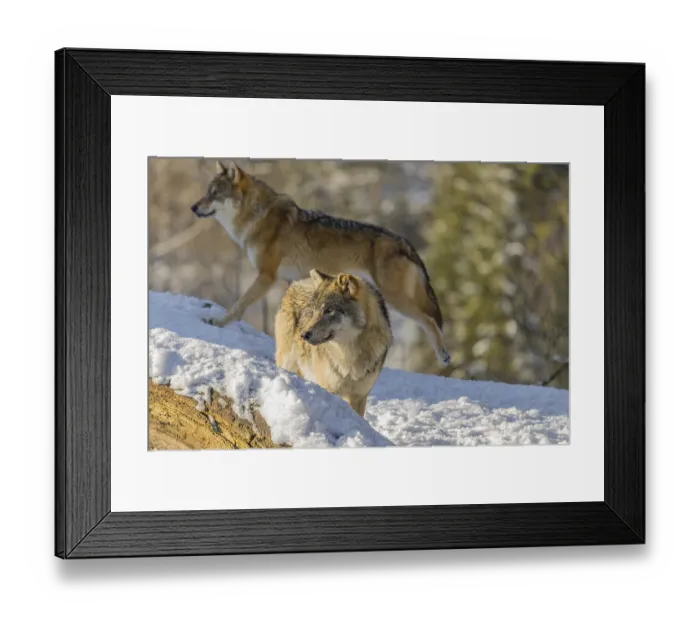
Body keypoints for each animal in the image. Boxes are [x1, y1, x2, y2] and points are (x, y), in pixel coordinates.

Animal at [191, 161, 450, 365]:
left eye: (214, 193)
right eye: (206, 192)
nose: (193, 207)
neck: (258, 217)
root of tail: (404, 241)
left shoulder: (266, 277)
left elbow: (238, 306)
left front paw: (218, 322)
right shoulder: (289, 282)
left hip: (397, 300)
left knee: (431, 322)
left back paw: (444, 356)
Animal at [275, 270, 392, 417]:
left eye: (328, 310)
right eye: (314, 311)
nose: (303, 334)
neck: (349, 356)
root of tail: (300, 282)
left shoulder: (359, 397)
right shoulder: (330, 389)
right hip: (287, 362)